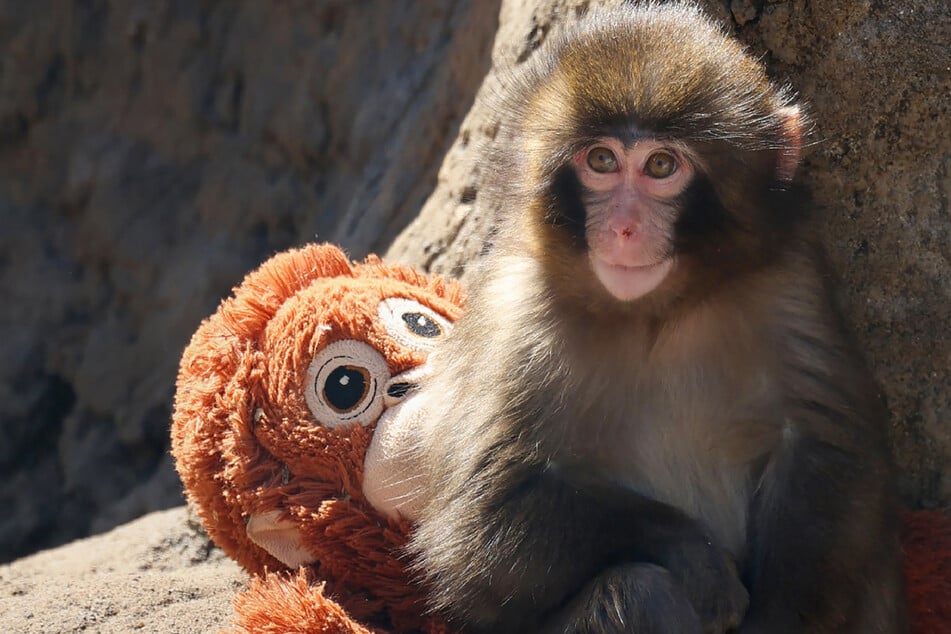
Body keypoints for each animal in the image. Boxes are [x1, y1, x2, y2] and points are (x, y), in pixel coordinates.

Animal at [405, 3, 908, 634]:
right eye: (601, 161)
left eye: (661, 165)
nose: (623, 227)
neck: (656, 313)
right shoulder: (515, 318)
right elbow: (478, 530)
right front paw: (696, 556)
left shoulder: (791, 283)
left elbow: (828, 451)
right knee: (637, 591)